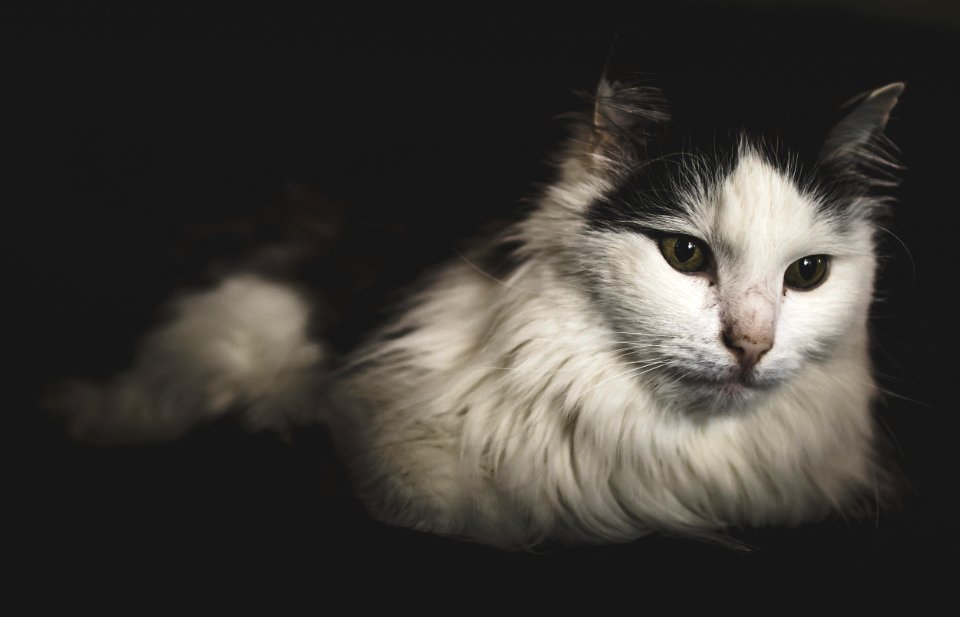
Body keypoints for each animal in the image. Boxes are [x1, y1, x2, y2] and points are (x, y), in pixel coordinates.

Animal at [48, 68, 904, 548]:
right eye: (686, 255)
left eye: (807, 273)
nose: (752, 344)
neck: (665, 452)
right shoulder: (390, 441)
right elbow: (443, 508)